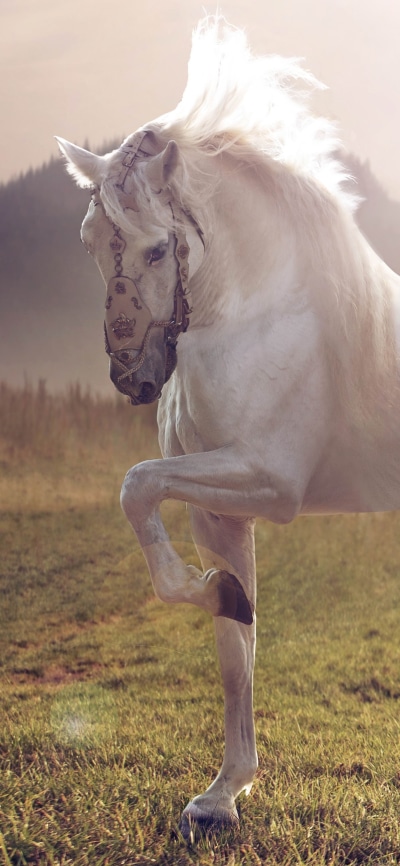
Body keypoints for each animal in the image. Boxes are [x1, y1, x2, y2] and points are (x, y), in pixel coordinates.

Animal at [56, 17, 400, 835]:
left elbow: (134, 487)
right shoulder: (218, 509)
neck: (256, 313)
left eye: (156, 247)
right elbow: (232, 651)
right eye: (89, 241)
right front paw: (222, 795)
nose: (133, 377)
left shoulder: (267, 481)